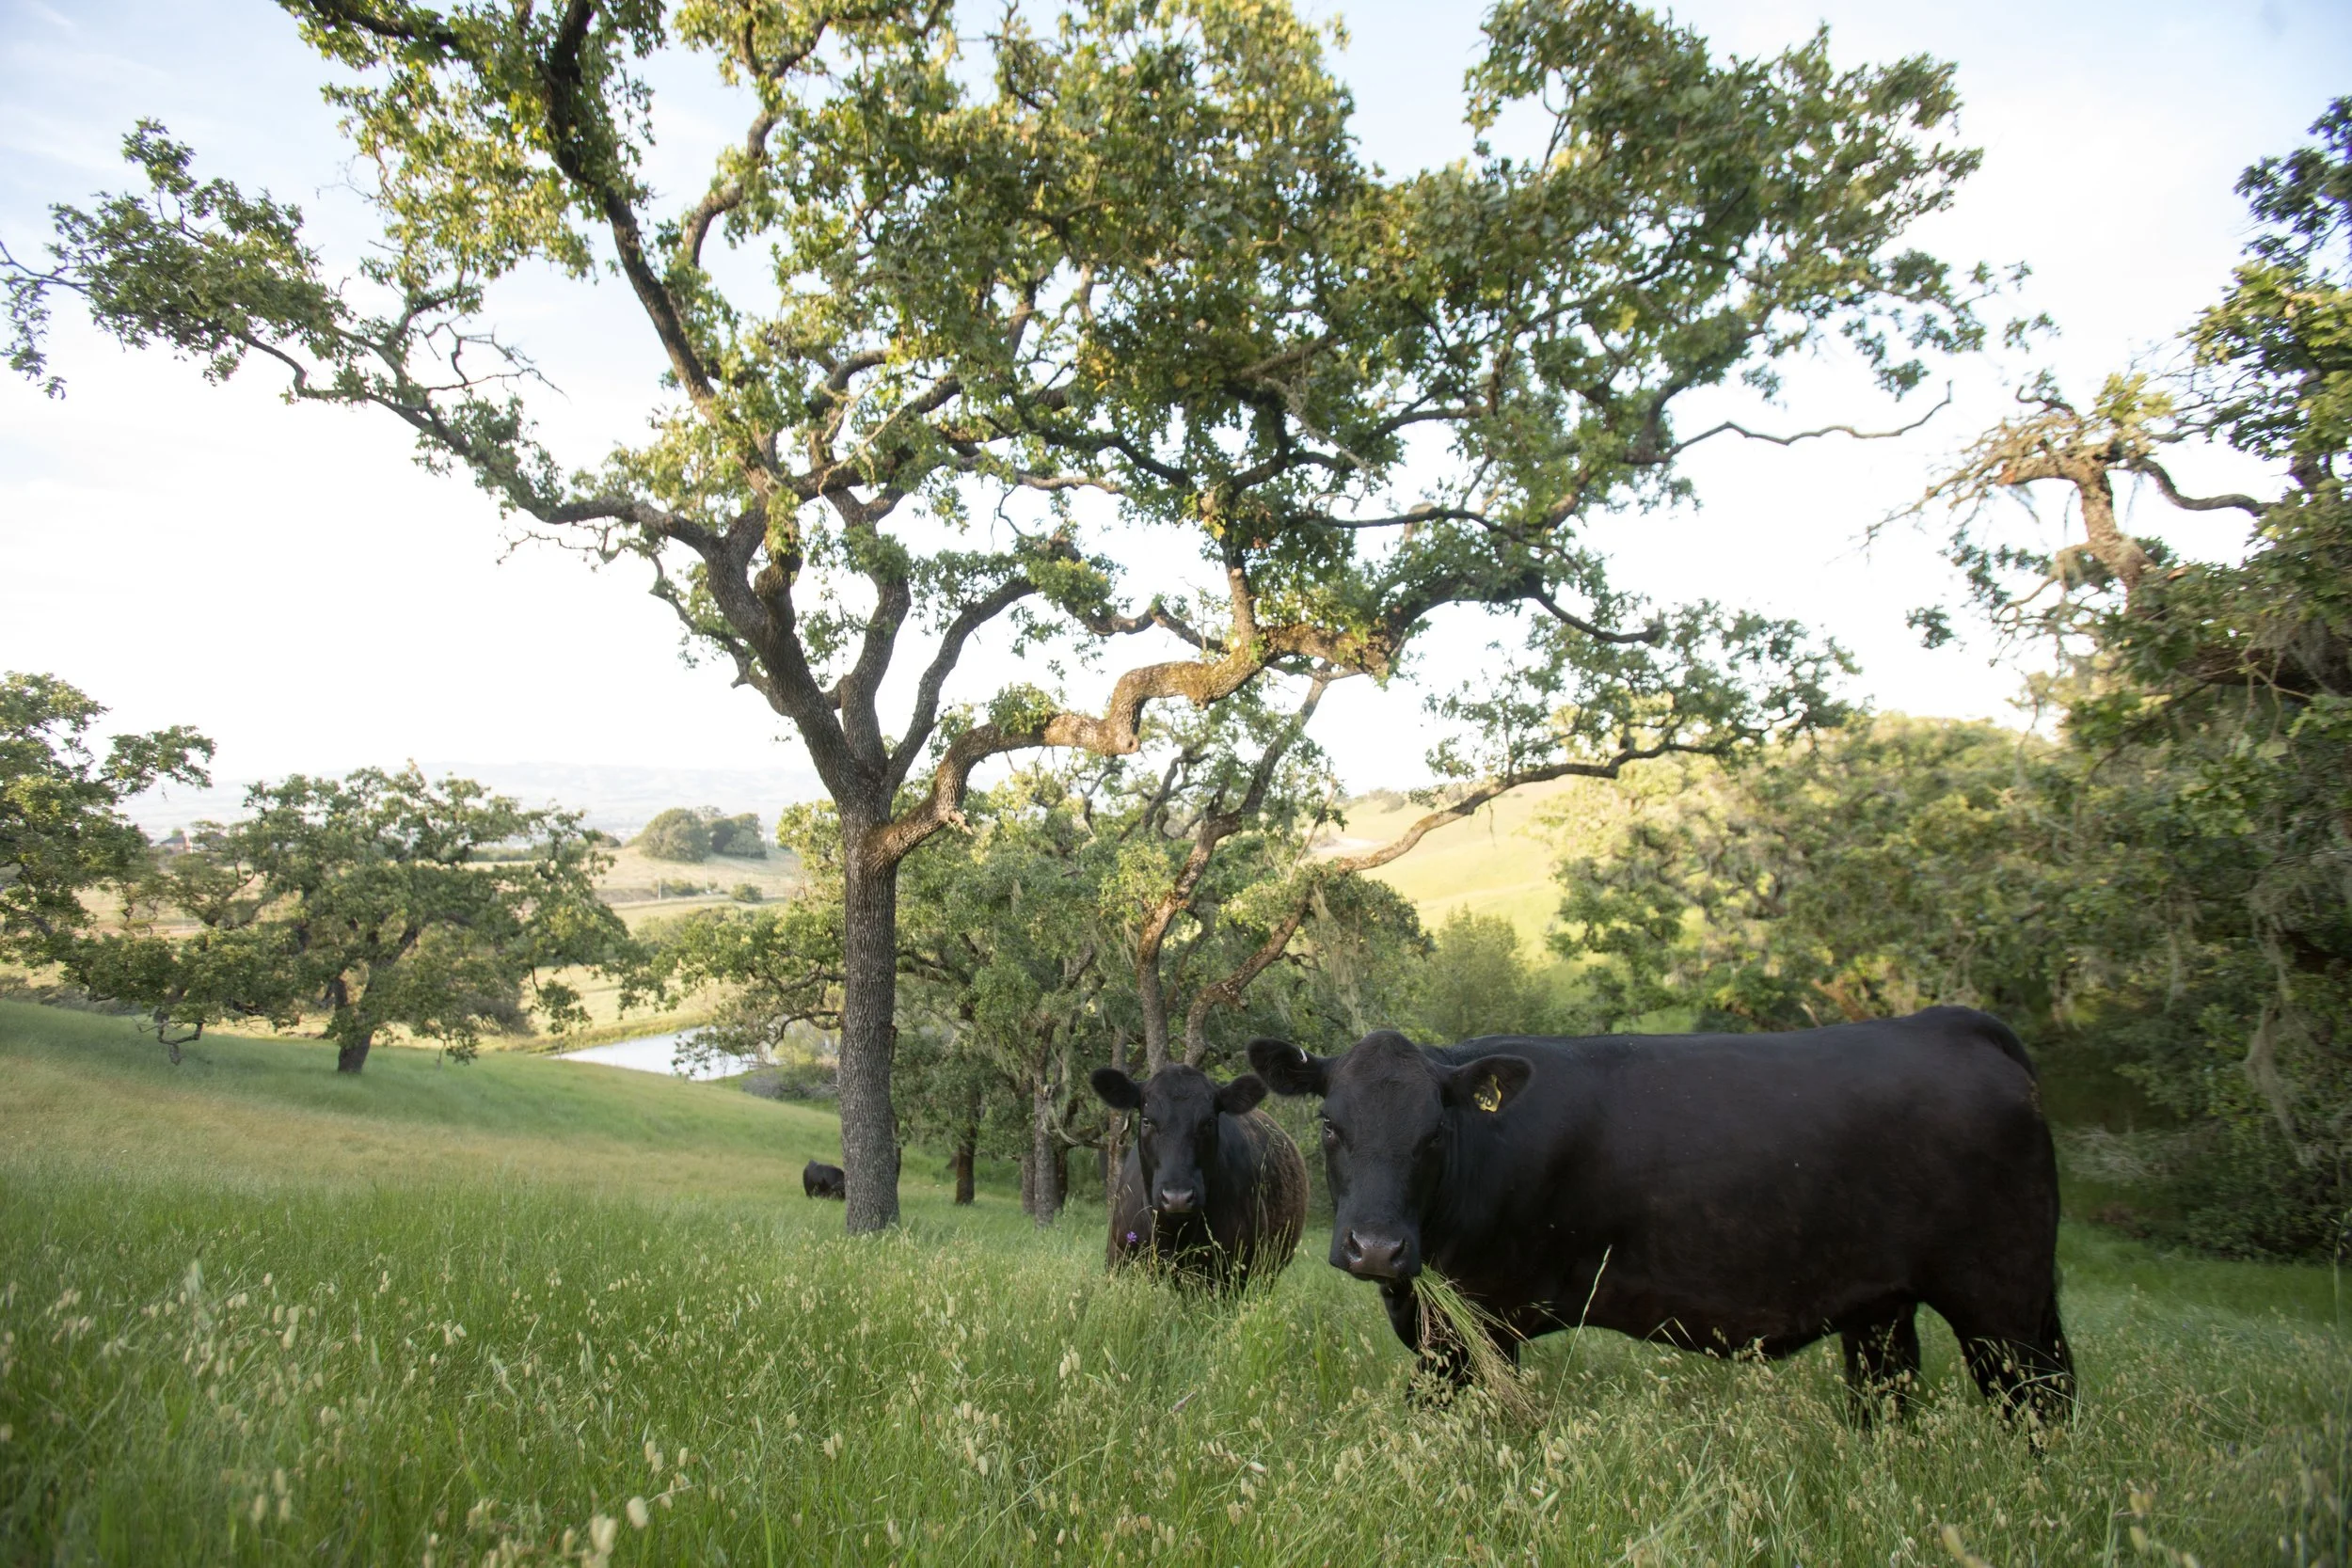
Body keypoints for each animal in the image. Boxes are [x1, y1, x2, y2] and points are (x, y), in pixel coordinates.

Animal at [1249, 1007, 2073, 1427]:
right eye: (1330, 1124)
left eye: (1433, 1134)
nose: (1376, 1248)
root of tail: (1951, 1022)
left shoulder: (1474, 1324)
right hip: (1882, 1308)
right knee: (1887, 1398)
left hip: (2002, 1301)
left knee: (2042, 1402)